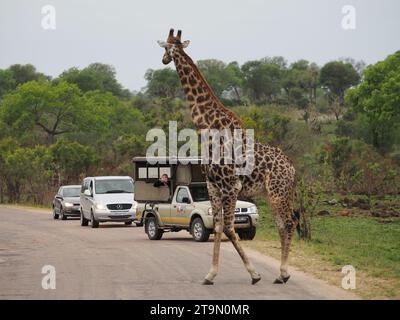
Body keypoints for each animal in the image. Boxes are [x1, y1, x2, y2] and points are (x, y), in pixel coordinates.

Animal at [158, 29, 298, 284]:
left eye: (166, 47)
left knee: (289, 222)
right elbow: (218, 226)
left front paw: (254, 274)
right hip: (277, 193)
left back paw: (283, 274)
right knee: (283, 223)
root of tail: (292, 167)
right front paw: (210, 274)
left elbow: (231, 228)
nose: (163, 60)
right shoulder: (213, 186)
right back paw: (281, 274)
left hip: (277, 192)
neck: (206, 126)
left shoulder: (232, 185)